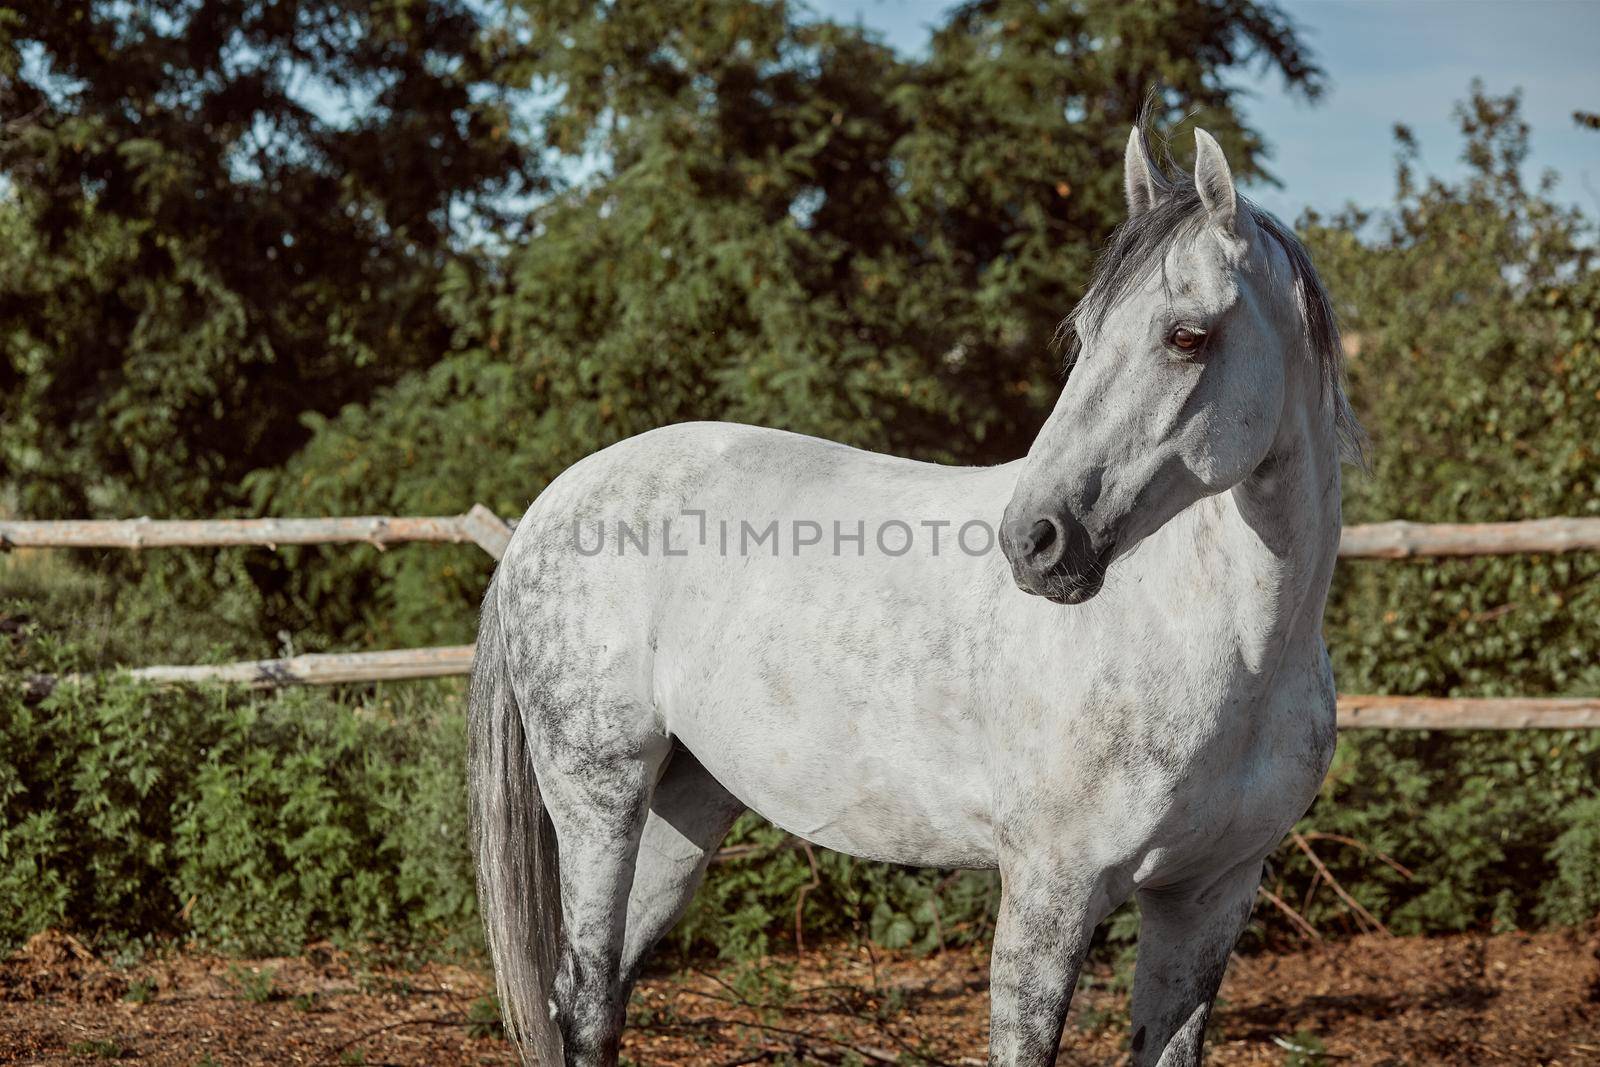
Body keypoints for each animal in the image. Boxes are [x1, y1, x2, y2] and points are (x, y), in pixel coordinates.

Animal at [467, 131, 1363, 1067]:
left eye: (1188, 336)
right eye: (1084, 335)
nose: (1036, 541)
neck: (1218, 646)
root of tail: (549, 507)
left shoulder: (1208, 897)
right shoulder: (1050, 891)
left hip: (686, 806)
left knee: (600, 995)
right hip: (597, 797)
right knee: (585, 997)